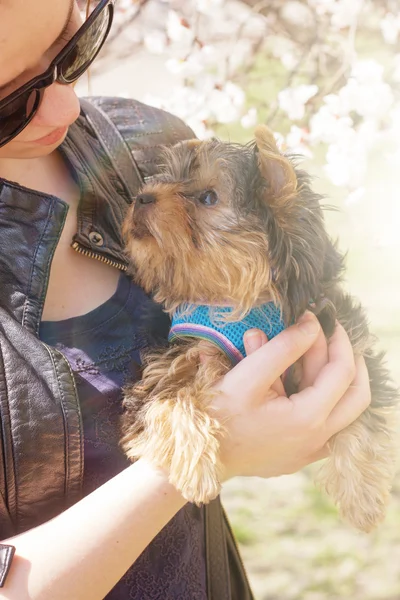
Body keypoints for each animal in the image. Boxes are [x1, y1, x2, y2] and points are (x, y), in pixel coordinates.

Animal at [120, 125, 398, 528]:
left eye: (207, 197)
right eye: (159, 181)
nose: (141, 197)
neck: (241, 301)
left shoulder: (344, 334)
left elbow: (364, 412)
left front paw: (362, 496)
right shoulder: (174, 361)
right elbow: (167, 400)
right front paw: (195, 465)